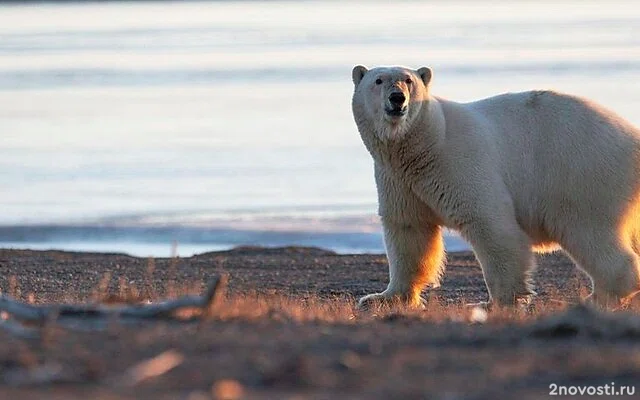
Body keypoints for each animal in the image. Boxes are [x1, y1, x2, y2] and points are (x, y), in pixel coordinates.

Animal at [352, 65, 640, 310]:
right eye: (378, 80)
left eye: (408, 80)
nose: (397, 98)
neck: (426, 143)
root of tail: (633, 138)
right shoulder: (399, 181)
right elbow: (409, 232)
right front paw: (383, 298)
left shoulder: (461, 162)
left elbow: (491, 226)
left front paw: (494, 301)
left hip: (582, 173)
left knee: (588, 232)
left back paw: (600, 296)